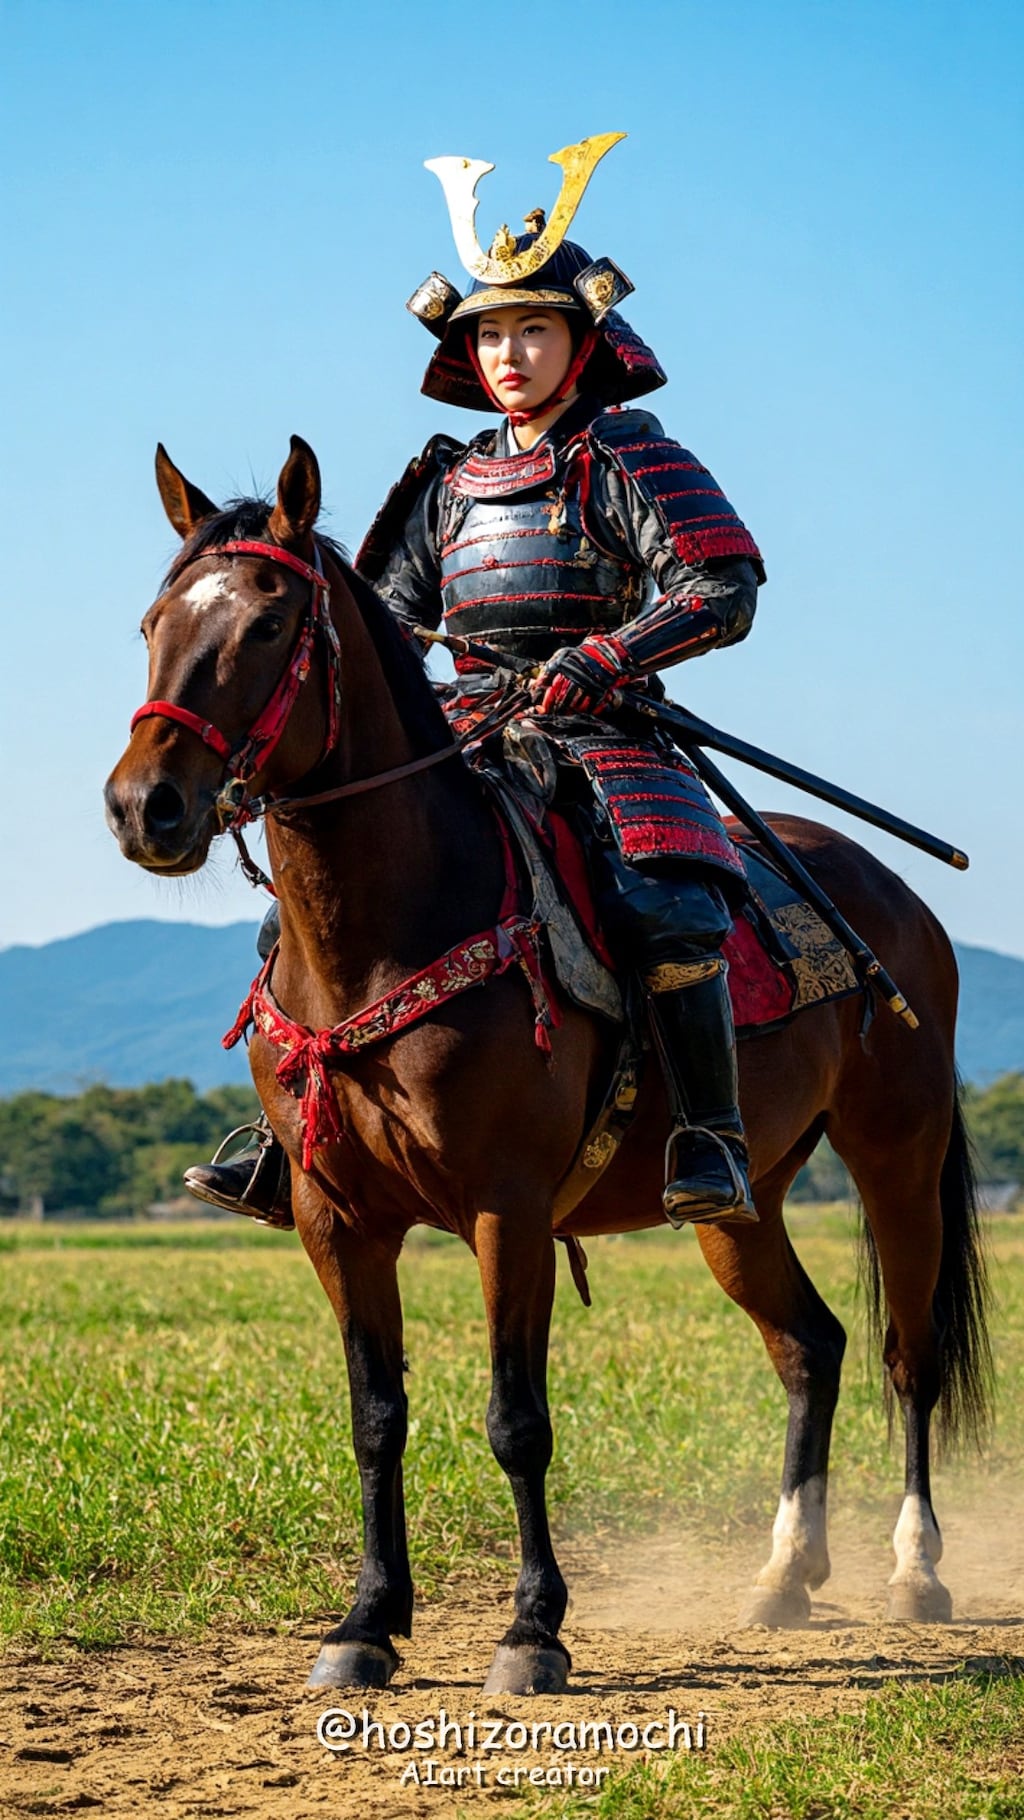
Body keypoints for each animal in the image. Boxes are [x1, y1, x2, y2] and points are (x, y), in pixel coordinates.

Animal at [104, 436, 990, 1695]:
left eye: (270, 625)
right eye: (152, 623)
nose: (147, 807)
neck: (389, 930)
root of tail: (897, 894)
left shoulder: (507, 1204)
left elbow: (515, 1417)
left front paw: (532, 1630)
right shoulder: (336, 1217)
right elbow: (375, 1414)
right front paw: (366, 1620)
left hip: (896, 1155)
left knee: (906, 1354)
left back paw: (914, 1570)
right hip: (741, 1197)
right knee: (807, 1345)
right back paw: (784, 1575)